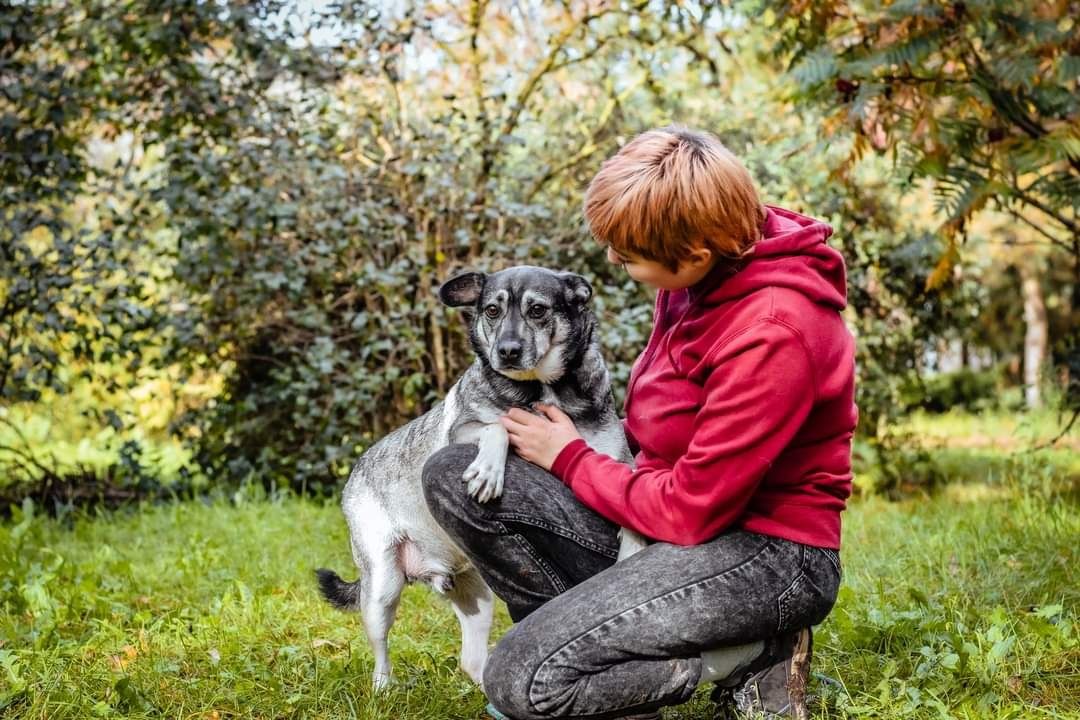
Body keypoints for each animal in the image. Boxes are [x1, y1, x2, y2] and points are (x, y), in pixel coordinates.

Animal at [315, 267, 643, 690]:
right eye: (491, 310)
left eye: (538, 310)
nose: (507, 350)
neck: (541, 389)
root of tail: (357, 469)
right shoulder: (464, 430)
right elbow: (497, 426)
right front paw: (488, 469)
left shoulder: (616, 457)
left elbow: (631, 489)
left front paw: (633, 544)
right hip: (382, 586)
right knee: (381, 649)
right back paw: (383, 689)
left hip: (477, 595)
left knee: (471, 661)